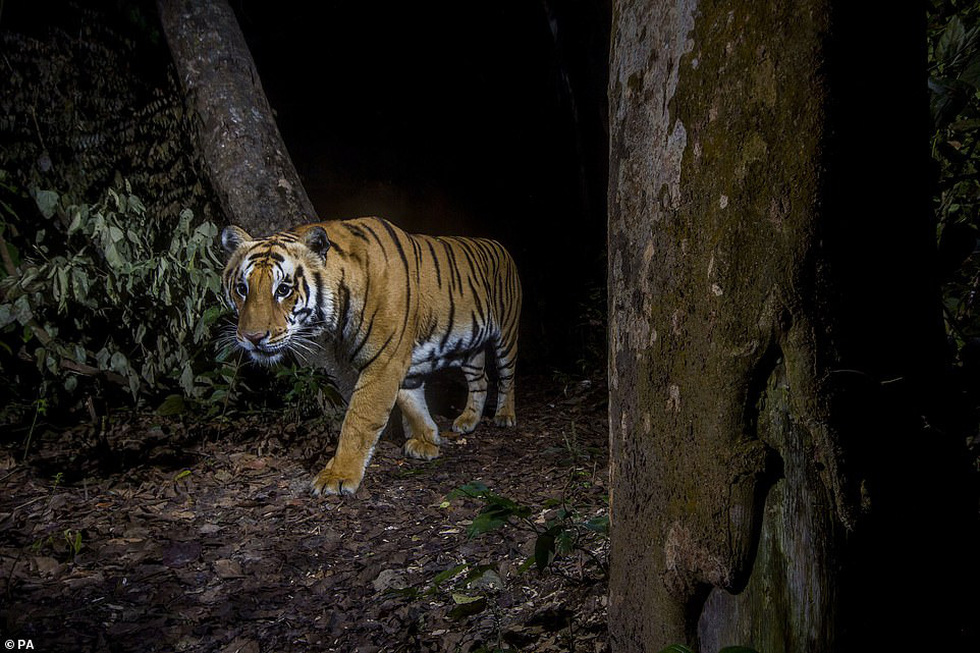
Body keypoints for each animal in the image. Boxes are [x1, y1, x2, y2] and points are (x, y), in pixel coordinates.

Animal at [221, 215, 524, 494]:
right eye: (242, 289)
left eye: (283, 289)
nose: (252, 338)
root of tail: (500, 245)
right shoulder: (401, 362)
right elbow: (411, 401)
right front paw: (427, 440)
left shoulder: (384, 361)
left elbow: (359, 419)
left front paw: (338, 476)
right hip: (470, 346)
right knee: (481, 379)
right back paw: (468, 420)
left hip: (507, 331)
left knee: (507, 375)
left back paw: (504, 416)